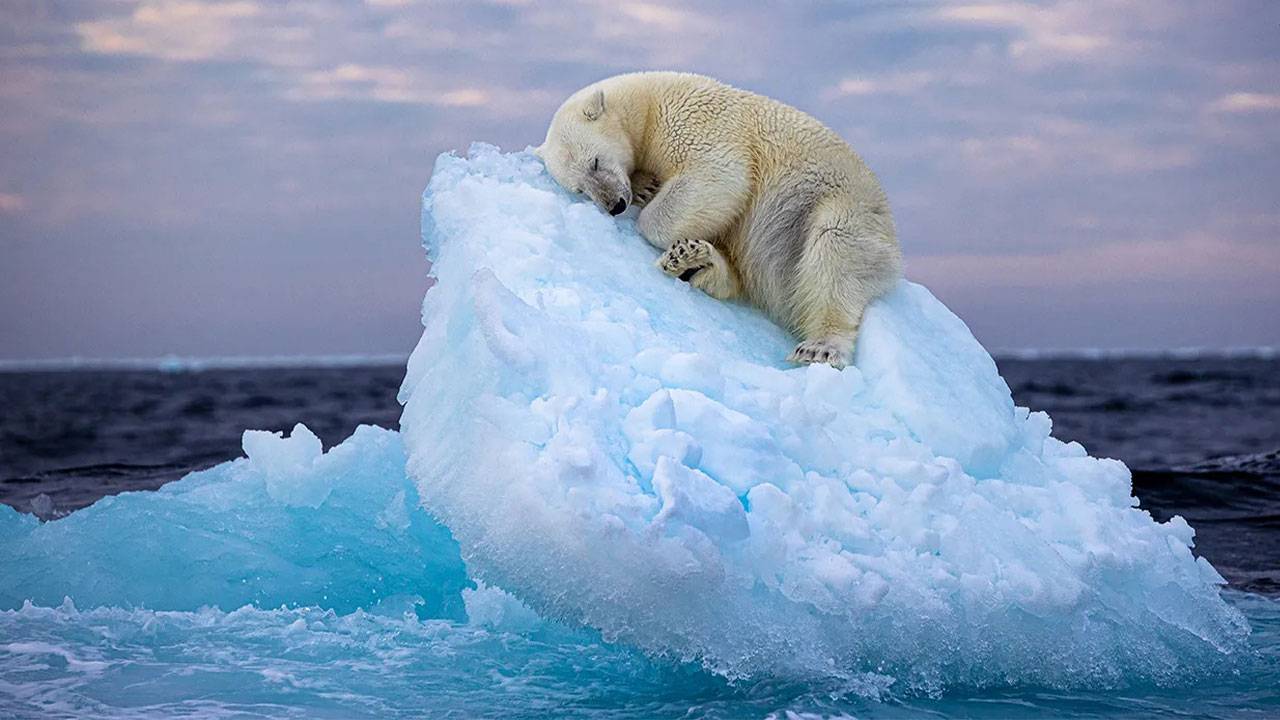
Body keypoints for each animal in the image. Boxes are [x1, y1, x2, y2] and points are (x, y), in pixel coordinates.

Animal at [535, 72, 906, 366]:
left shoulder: (695, 122)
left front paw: (650, 205)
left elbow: (720, 177)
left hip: (840, 207)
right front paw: (645, 186)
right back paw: (694, 261)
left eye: (595, 162)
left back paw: (820, 347)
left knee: (834, 251)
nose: (615, 204)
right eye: (580, 188)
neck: (648, 104)